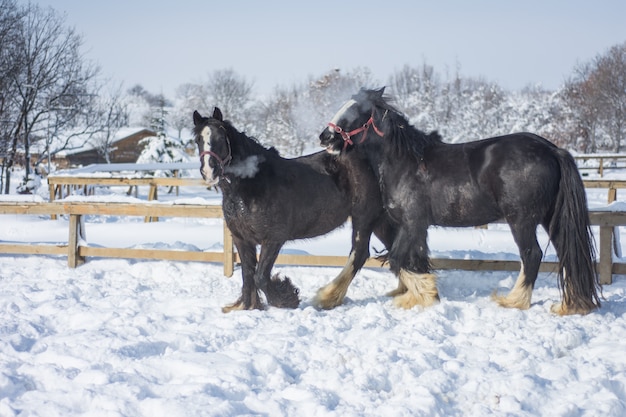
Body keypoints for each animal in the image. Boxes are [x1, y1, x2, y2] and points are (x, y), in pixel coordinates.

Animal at [191, 105, 394, 310]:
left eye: (219, 138)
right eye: (198, 139)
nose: (209, 171)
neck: (253, 184)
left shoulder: (273, 239)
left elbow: (260, 277)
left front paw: (287, 296)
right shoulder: (242, 239)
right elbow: (247, 276)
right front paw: (249, 307)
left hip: (364, 218)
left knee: (359, 254)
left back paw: (328, 296)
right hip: (380, 222)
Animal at [322, 88, 600, 316]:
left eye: (356, 110)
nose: (325, 137)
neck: (405, 162)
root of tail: (552, 150)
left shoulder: (413, 222)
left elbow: (398, 259)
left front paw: (424, 295)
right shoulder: (415, 227)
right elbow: (414, 259)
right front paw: (420, 295)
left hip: (522, 219)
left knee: (532, 255)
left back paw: (513, 301)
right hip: (550, 217)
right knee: (566, 252)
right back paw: (570, 305)